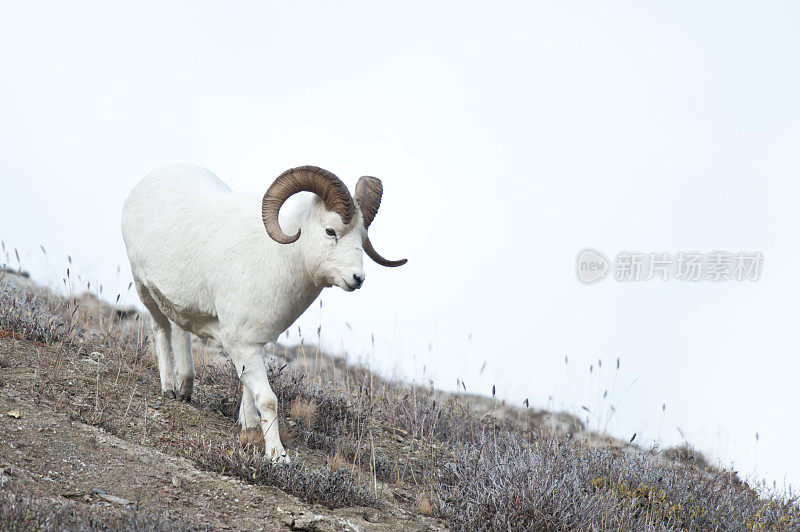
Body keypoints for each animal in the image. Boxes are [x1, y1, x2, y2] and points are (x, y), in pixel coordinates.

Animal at [121, 166, 404, 462]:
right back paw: (170, 388)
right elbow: (268, 400)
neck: (274, 258)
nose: (357, 279)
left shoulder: (253, 344)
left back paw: (186, 389)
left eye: (361, 236)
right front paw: (278, 456)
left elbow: (248, 388)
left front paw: (248, 425)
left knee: (179, 330)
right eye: (330, 231)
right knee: (161, 329)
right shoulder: (242, 343)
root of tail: (149, 180)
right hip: (144, 288)